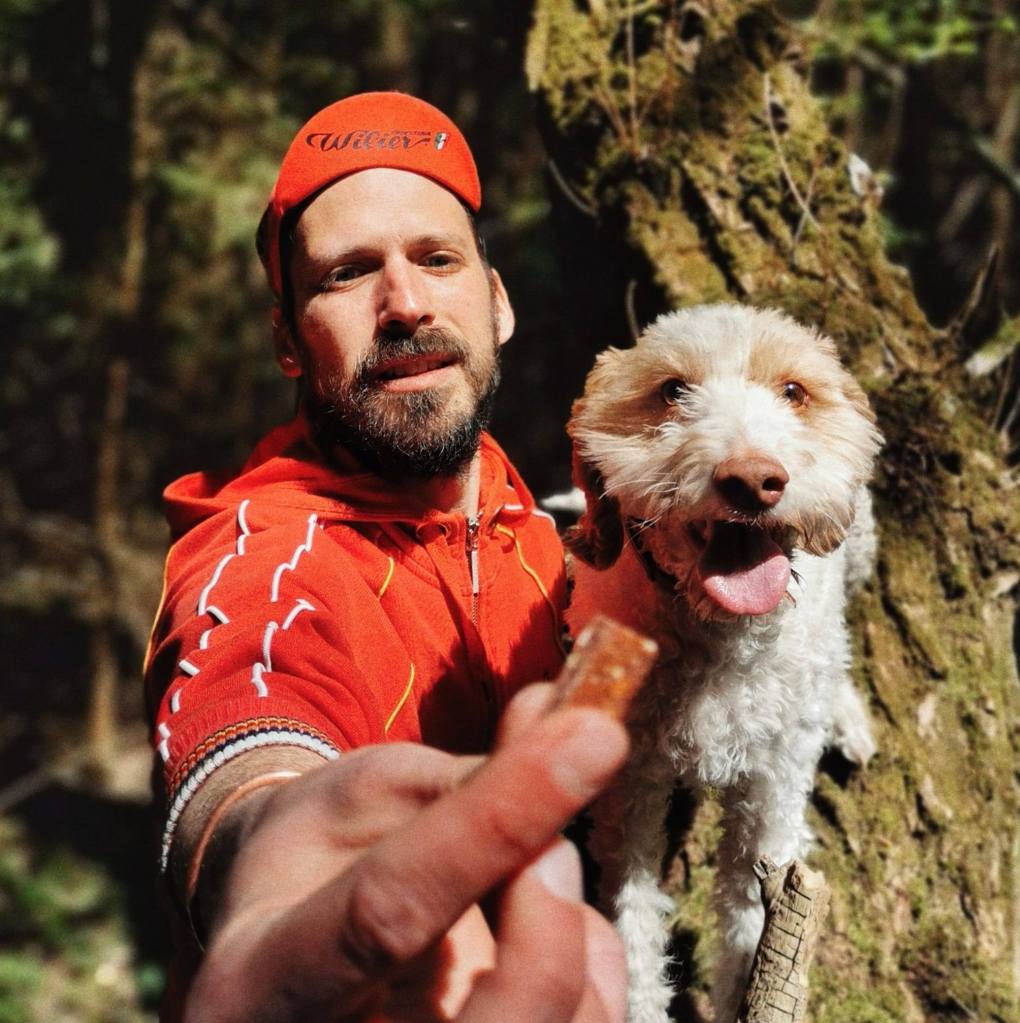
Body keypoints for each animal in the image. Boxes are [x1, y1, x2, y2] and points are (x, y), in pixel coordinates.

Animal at [564, 302, 883, 1023]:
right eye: (672, 391)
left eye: (794, 391)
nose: (754, 480)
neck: (722, 641)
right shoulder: (629, 791)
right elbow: (631, 917)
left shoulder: (772, 792)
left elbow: (750, 920)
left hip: (860, 542)